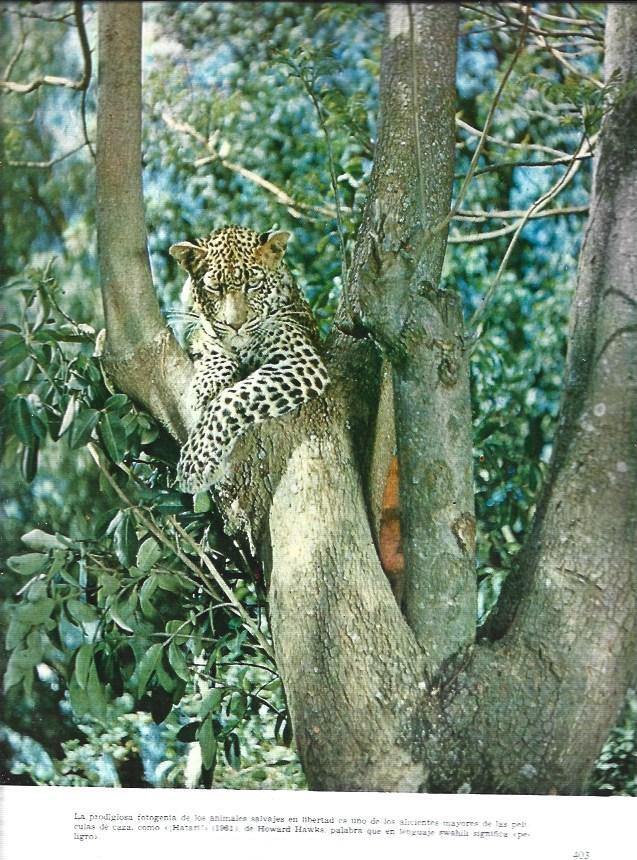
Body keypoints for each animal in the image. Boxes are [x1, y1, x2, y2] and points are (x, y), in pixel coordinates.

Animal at [169, 225, 329, 494]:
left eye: (253, 284)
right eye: (215, 288)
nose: (235, 325)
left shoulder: (300, 361)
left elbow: (230, 399)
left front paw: (196, 462)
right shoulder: (199, 330)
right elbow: (209, 340)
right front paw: (205, 385)